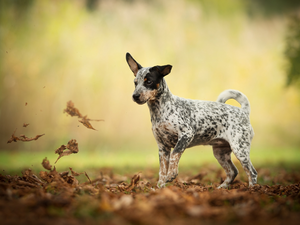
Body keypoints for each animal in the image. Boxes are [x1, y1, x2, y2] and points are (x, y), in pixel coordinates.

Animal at [125, 52, 256, 188]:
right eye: (135, 83)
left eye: (149, 81)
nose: (135, 96)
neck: (161, 110)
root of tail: (243, 112)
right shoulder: (162, 147)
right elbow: (162, 171)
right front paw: (160, 187)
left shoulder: (186, 134)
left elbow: (175, 154)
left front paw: (171, 174)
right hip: (220, 153)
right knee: (233, 171)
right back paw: (222, 188)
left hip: (240, 149)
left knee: (252, 172)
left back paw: (251, 189)